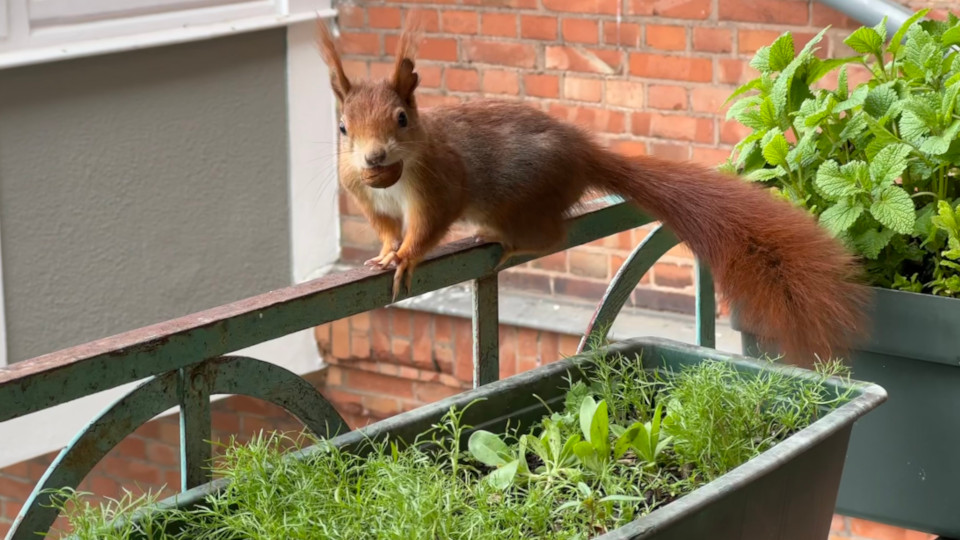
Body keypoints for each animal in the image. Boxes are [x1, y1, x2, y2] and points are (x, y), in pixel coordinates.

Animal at [315, 17, 871, 363]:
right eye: (342, 128)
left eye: (402, 119)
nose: (373, 158)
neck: (396, 174)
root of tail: (583, 155)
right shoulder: (366, 195)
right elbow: (386, 229)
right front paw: (385, 253)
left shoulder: (438, 184)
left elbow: (428, 226)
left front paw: (407, 257)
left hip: (517, 201)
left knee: (550, 235)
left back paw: (510, 245)